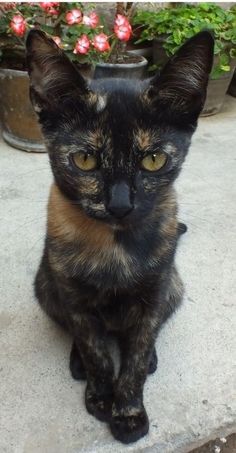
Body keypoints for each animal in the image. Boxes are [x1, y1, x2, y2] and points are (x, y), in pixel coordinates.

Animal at [25, 30, 214, 444]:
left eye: (154, 160)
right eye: (85, 160)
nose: (120, 204)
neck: (115, 247)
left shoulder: (153, 296)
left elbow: (136, 359)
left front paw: (128, 413)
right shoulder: (75, 301)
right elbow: (96, 351)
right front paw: (100, 396)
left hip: (174, 285)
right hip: (46, 285)